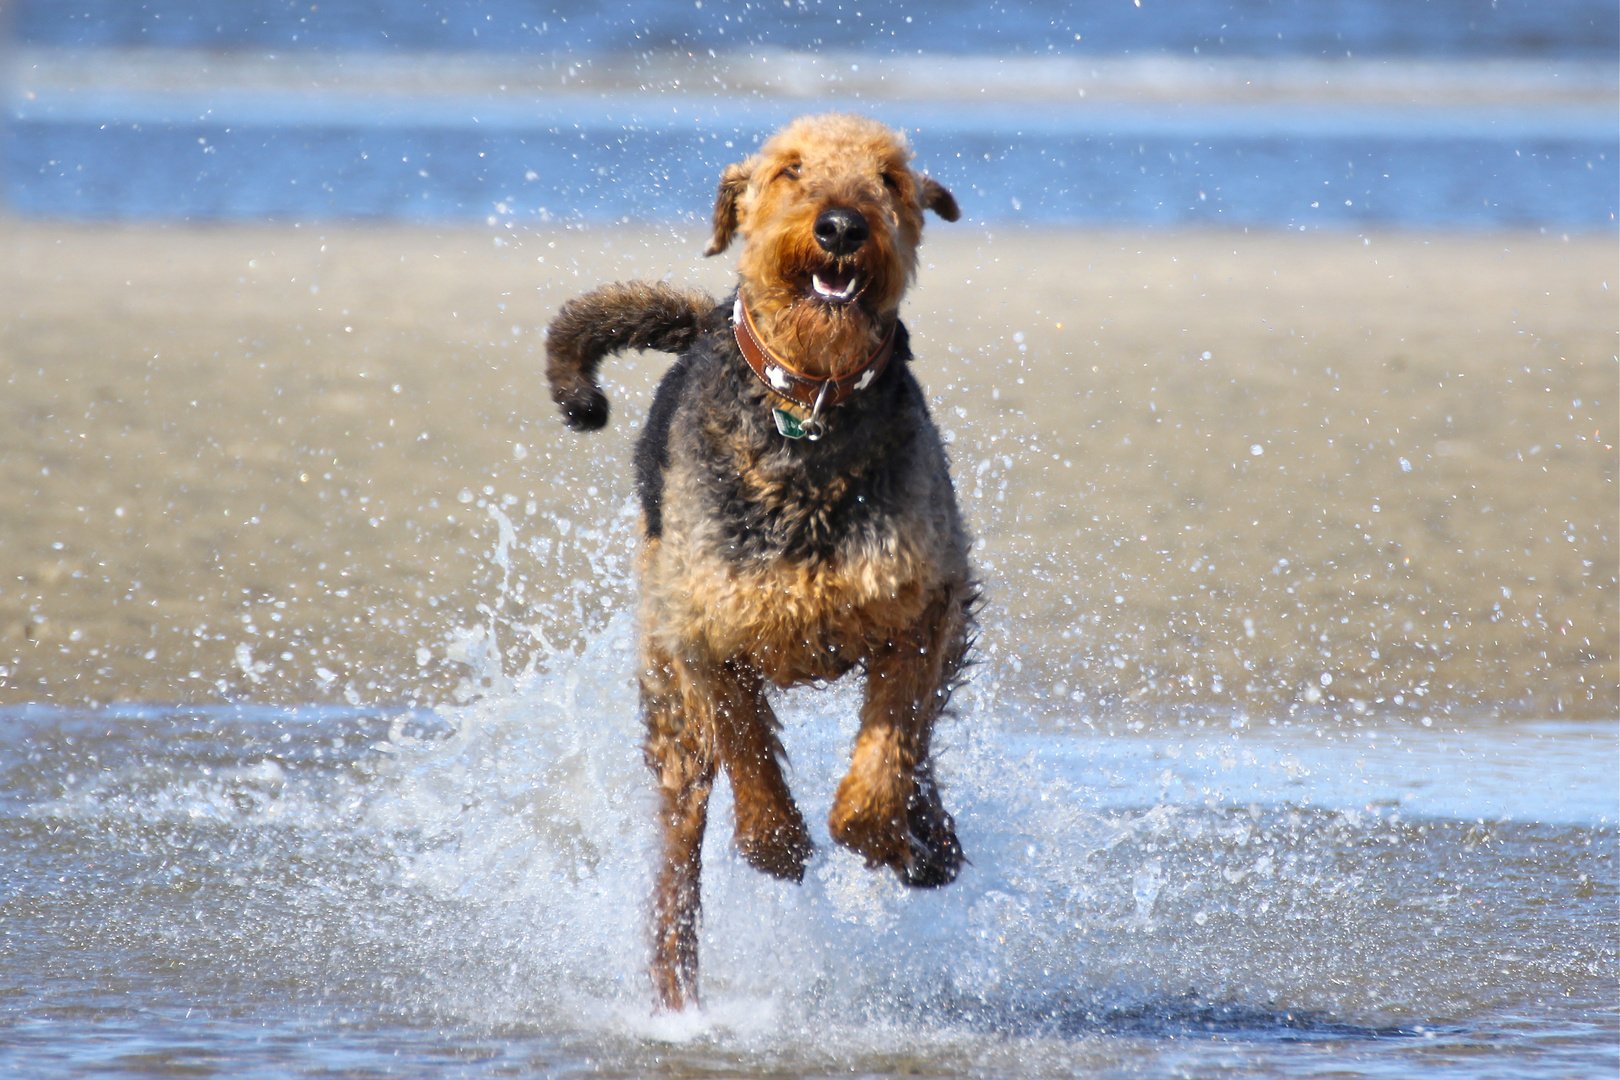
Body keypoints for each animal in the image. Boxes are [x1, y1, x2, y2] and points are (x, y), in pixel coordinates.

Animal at [544, 114, 972, 1010]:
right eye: (790, 170)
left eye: (889, 177)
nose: (841, 227)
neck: (807, 412)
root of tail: (705, 318)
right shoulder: (705, 630)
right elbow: (744, 736)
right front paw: (778, 843)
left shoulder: (926, 600)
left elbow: (887, 754)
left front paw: (890, 838)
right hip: (667, 709)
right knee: (679, 862)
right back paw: (676, 1000)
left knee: (921, 750)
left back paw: (933, 844)